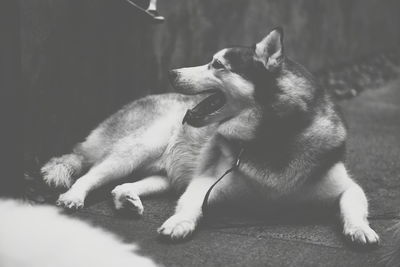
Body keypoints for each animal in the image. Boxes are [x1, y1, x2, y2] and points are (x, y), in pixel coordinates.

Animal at [42, 27, 380, 245]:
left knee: (123, 185)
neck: (270, 137)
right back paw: (74, 196)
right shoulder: (206, 184)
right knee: (90, 174)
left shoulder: (347, 187)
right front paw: (180, 222)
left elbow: (353, 203)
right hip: (136, 149)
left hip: (165, 175)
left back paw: (126, 198)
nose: (172, 73)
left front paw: (359, 229)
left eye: (217, 64)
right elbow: (190, 204)